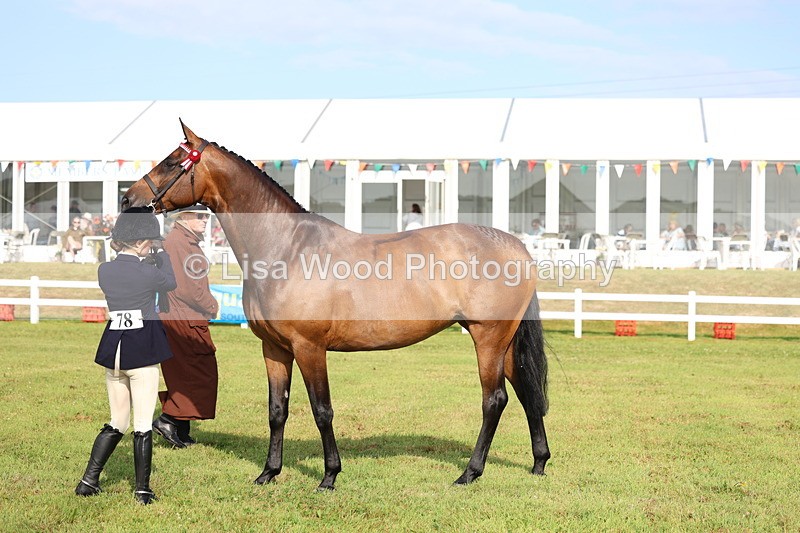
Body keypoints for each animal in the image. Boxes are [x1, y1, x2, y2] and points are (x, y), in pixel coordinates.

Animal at [121, 120, 550, 490]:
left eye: (172, 162)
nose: (128, 198)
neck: (286, 248)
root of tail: (516, 247)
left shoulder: (310, 348)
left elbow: (321, 409)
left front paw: (329, 476)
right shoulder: (274, 348)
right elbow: (277, 410)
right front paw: (269, 473)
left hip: (488, 338)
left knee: (494, 400)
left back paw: (469, 473)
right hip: (504, 343)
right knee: (527, 393)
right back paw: (539, 463)